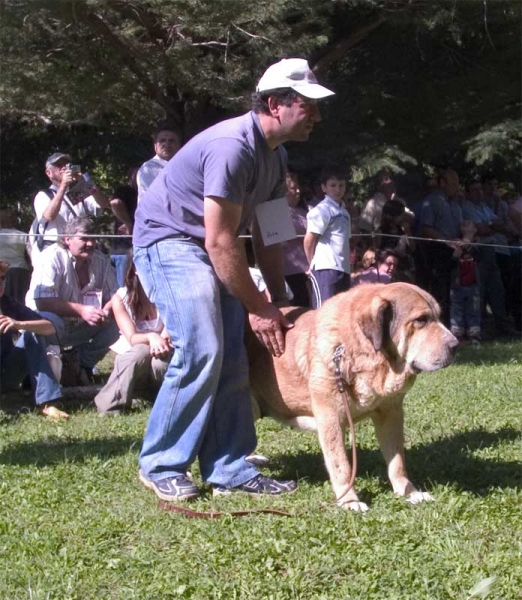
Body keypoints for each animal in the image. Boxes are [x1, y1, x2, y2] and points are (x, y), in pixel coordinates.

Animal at [246, 282, 458, 510]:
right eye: (421, 320)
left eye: (438, 316)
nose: (456, 345)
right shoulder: (330, 420)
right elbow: (341, 465)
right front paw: (350, 501)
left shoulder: (390, 414)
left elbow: (397, 462)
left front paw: (410, 492)